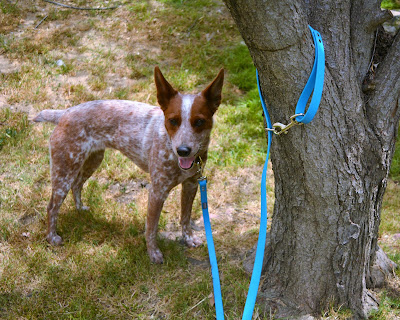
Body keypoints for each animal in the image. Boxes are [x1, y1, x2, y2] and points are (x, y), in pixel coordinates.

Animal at [32, 67, 223, 262]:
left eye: (199, 121)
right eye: (173, 120)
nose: (183, 150)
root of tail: (65, 113)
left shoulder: (191, 185)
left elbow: (185, 217)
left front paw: (188, 239)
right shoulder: (157, 192)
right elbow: (151, 228)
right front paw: (153, 253)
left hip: (92, 160)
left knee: (77, 185)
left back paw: (80, 209)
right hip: (64, 172)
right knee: (52, 207)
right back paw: (52, 237)